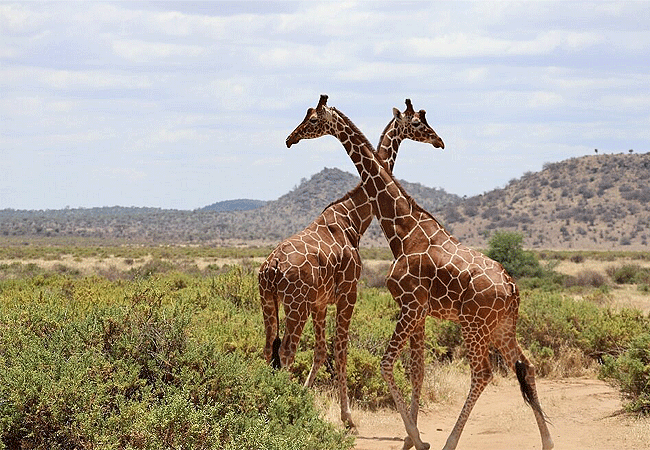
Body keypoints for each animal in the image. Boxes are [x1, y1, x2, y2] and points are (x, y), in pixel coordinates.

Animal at [259, 98, 444, 429]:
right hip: (295, 303)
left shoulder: (321, 302)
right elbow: (341, 350)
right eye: (418, 123)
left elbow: (321, 351)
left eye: (311, 118)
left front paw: (306, 400)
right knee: (288, 351)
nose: (439, 140)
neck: (354, 219)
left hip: (268, 300)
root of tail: (273, 267)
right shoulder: (349, 292)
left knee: (270, 348)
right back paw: (283, 411)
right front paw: (346, 417)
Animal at [286, 95, 554, 450]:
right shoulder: (419, 311)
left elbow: (387, 364)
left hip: (474, 325)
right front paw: (409, 440)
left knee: (483, 374)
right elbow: (417, 370)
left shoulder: (411, 305)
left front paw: (417, 438)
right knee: (527, 366)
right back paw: (548, 441)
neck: (403, 229)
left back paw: (450, 441)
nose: (291, 138)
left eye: (313, 120)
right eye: (418, 122)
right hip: (502, 327)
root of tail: (512, 288)